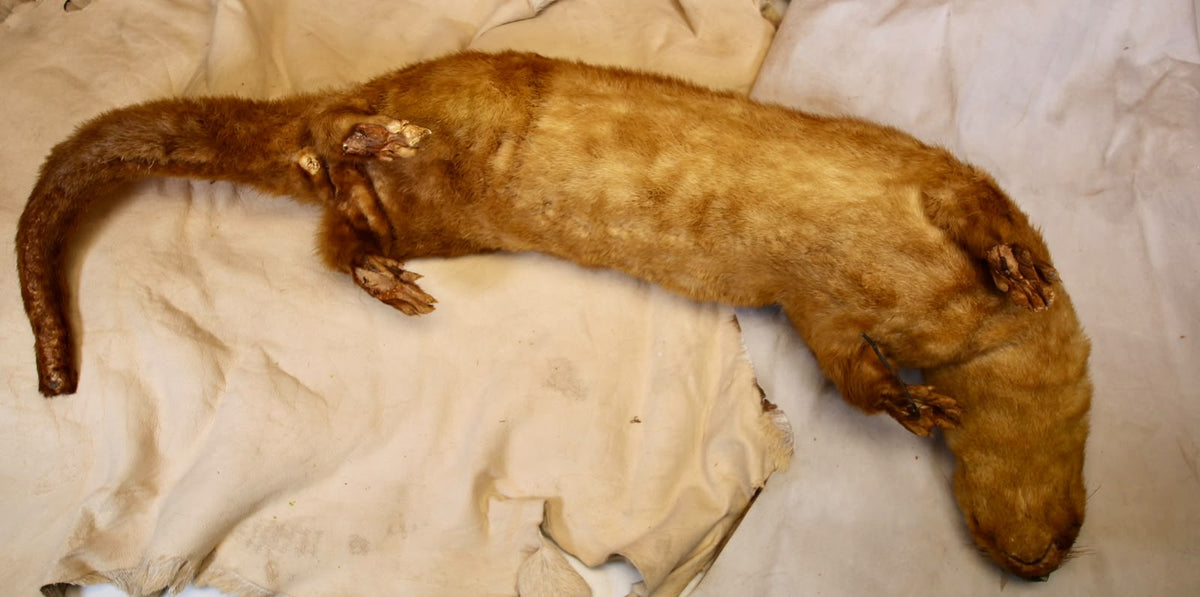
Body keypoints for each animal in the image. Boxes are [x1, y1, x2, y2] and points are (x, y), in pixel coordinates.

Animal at [15, 51, 1091, 580]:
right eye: (1030, 541)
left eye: (1060, 534)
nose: (1035, 562)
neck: (938, 319)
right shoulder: (927, 173)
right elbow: (980, 221)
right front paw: (1018, 280)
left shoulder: (817, 306)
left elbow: (846, 364)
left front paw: (920, 403)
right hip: (438, 89)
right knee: (335, 131)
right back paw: (380, 142)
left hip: (422, 219)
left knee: (338, 227)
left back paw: (384, 259)